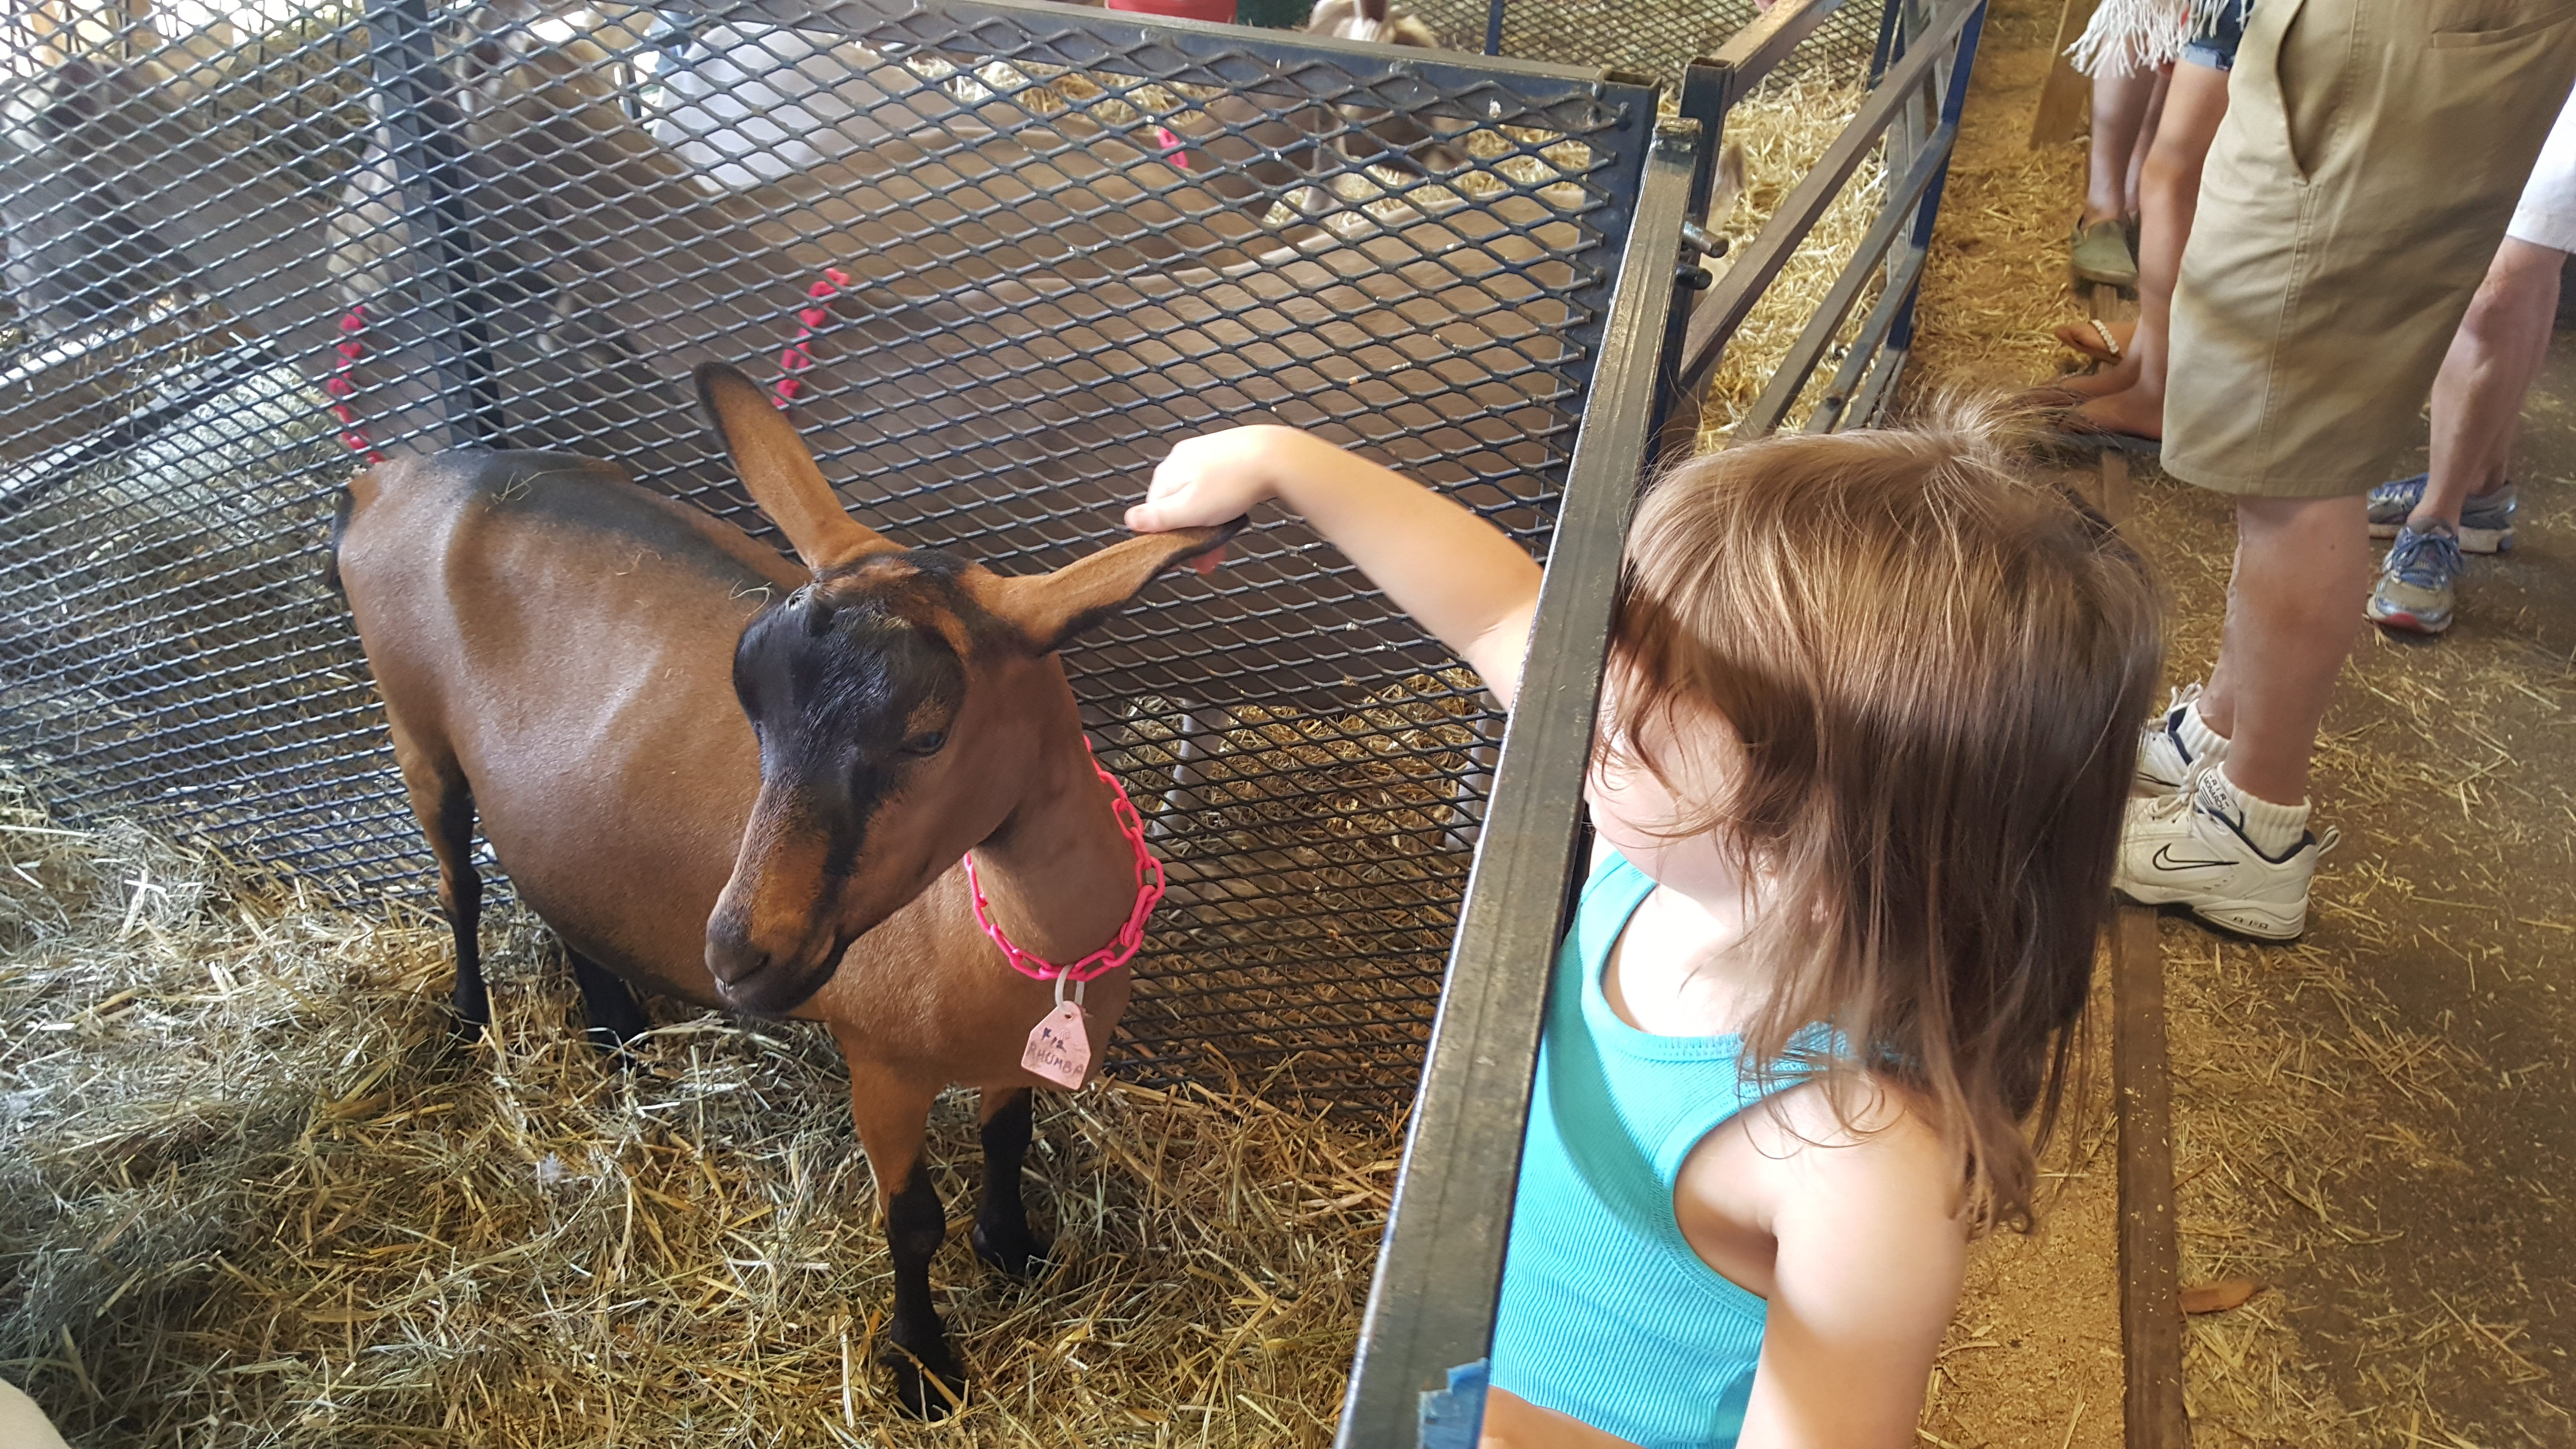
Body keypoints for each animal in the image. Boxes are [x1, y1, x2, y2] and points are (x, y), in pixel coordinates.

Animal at [327, 361, 1252, 1413]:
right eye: (751, 703)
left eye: (928, 732)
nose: (736, 952)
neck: (1024, 940)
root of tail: (390, 478)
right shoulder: (882, 1066)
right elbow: (913, 1222)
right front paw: (923, 1365)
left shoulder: (1017, 1054)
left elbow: (1010, 1141)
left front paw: (1015, 1250)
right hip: (414, 727)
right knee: (460, 885)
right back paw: (468, 1023)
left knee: (545, 879)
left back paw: (615, 1031)